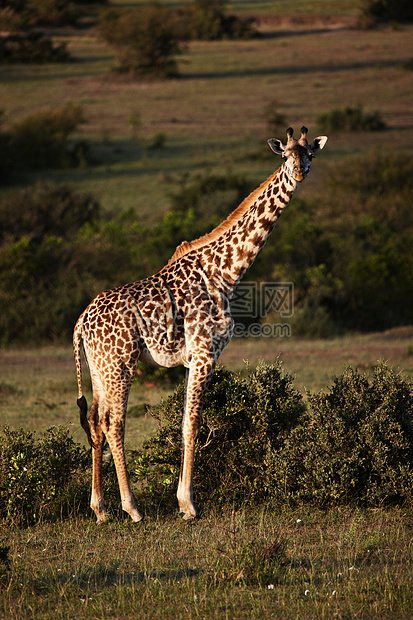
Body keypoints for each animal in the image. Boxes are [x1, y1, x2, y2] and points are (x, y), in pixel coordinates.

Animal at [73, 127, 326, 524]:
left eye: (310, 155)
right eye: (286, 156)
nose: (300, 173)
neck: (225, 272)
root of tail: (82, 321)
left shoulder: (198, 357)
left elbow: (189, 423)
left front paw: (184, 500)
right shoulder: (205, 353)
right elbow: (191, 424)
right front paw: (187, 504)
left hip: (99, 367)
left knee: (97, 424)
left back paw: (100, 509)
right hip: (121, 365)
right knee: (115, 425)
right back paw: (132, 508)